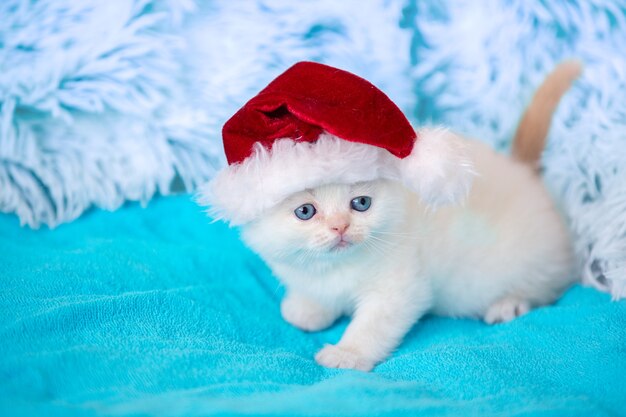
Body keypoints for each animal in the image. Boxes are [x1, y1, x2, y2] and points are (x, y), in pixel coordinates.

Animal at [228, 60, 576, 368]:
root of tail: (523, 172)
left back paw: (508, 304)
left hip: (525, 260)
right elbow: (314, 296)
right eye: (305, 211)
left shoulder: (399, 288)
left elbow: (372, 326)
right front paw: (307, 308)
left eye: (361, 203)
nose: (340, 227)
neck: (337, 268)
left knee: (544, 289)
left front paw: (347, 354)